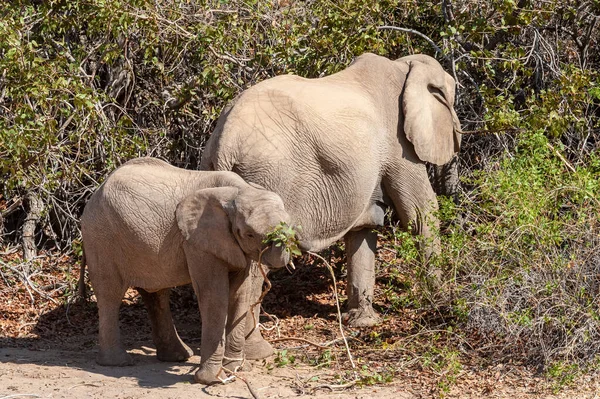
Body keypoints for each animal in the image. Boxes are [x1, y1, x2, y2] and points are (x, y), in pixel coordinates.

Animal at [81, 158, 292, 386]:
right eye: (250, 234)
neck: (239, 190)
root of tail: (95, 193)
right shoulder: (197, 242)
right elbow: (214, 296)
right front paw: (213, 379)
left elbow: (240, 295)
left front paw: (236, 370)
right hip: (101, 237)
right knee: (110, 294)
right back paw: (118, 362)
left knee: (156, 294)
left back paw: (178, 356)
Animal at [199, 52, 462, 354]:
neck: (403, 65)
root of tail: (224, 141)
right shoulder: (398, 144)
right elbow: (420, 213)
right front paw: (442, 306)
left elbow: (364, 228)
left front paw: (362, 323)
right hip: (266, 177)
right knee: (259, 257)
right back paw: (257, 351)